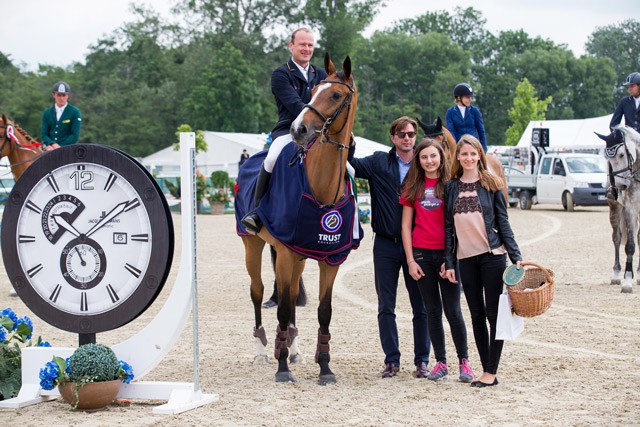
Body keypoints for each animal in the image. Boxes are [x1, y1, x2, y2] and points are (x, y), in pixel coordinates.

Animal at [236, 53, 358, 384]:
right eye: (313, 90)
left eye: (337, 95)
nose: (298, 130)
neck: (321, 185)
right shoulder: (285, 254)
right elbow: (281, 308)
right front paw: (282, 370)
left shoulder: (331, 258)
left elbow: (323, 312)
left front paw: (325, 368)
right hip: (254, 246)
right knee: (259, 292)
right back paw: (262, 351)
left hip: (298, 256)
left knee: (290, 298)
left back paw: (294, 349)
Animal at [596, 122, 640, 292]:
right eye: (607, 158)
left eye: (621, 154)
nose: (621, 186)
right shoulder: (630, 208)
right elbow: (629, 245)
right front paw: (627, 281)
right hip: (614, 209)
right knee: (616, 238)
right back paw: (616, 275)